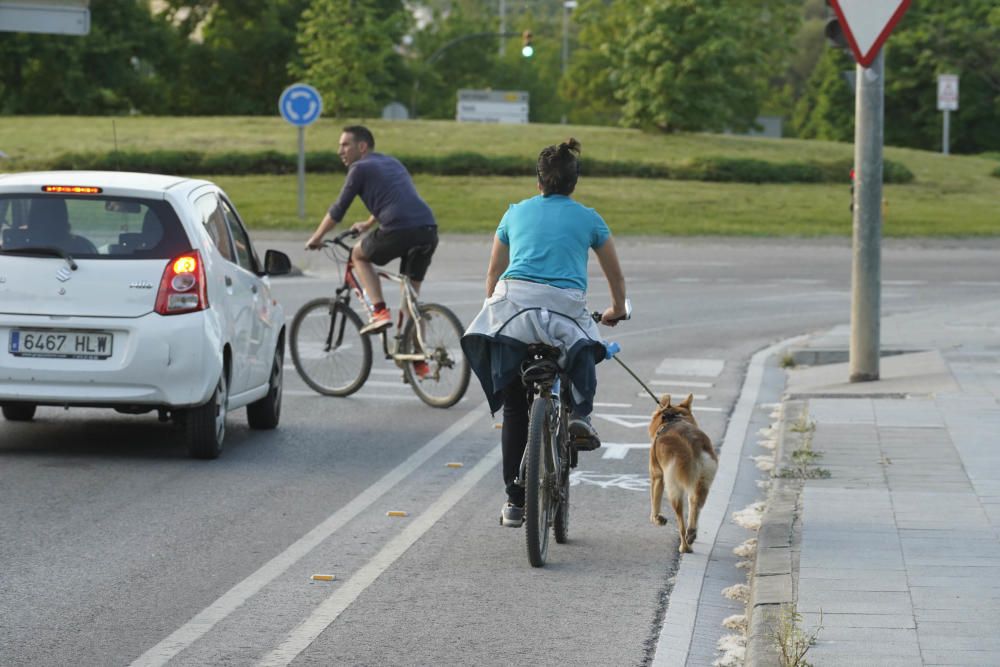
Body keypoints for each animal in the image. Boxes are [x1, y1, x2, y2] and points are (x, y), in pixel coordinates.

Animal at [648, 394, 720, 556]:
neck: (673, 419)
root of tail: (692, 444)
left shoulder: (657, 476)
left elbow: (654, 503)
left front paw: (657, 519)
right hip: (702, 483)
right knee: (695, 505)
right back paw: (691, 533)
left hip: (673, 489)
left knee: (680, 522)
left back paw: (684, 546)